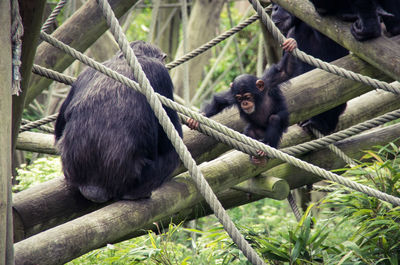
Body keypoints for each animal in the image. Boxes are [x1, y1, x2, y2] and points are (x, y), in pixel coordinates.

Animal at [54, 40, 183, 202]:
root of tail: (94, 188)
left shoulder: (83, 74)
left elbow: (59, 127)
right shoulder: (160, 76)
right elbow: (170, 140)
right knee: (171, 155)